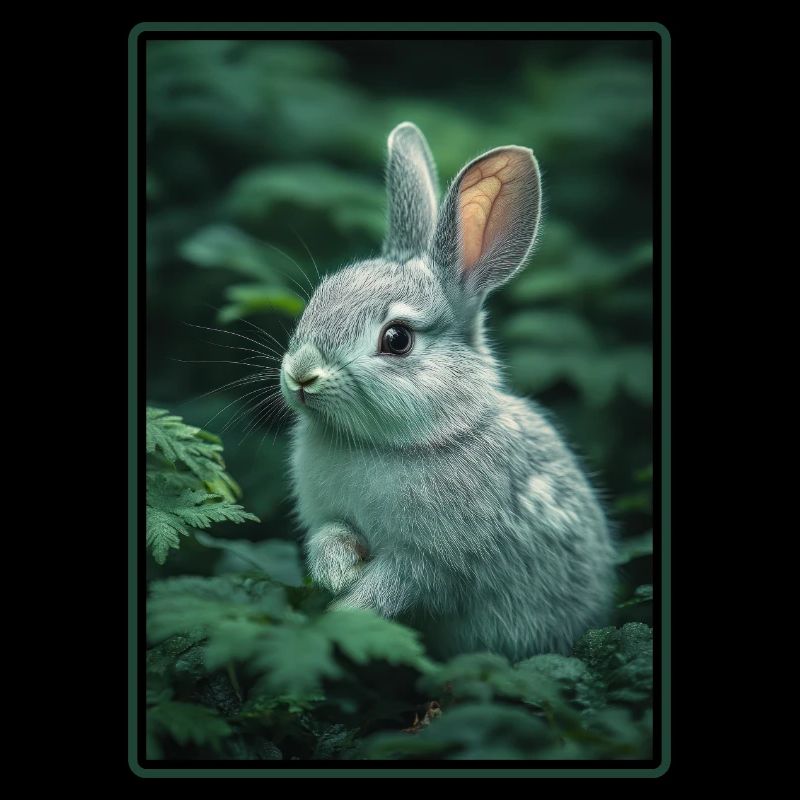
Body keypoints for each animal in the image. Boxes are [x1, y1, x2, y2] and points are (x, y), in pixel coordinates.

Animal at [279, 122, 615, 662]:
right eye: (320, 297)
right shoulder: (330, 519)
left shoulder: (431, 564)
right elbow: (329, 538)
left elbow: (392, 587)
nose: (301, 374)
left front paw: (343, 615)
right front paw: (340, 572)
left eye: (397, 339)